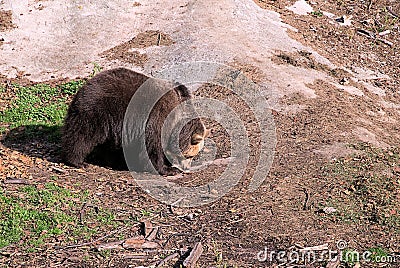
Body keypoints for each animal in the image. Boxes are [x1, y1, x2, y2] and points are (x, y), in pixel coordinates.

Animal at [61, 67, 209, 176]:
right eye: (189, 155)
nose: (186, 168)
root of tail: (86, 85)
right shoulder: (155, 120)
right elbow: (152, 148)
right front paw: (167, 169)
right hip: (98, 110)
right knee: (82, 134)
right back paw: (78, 161)